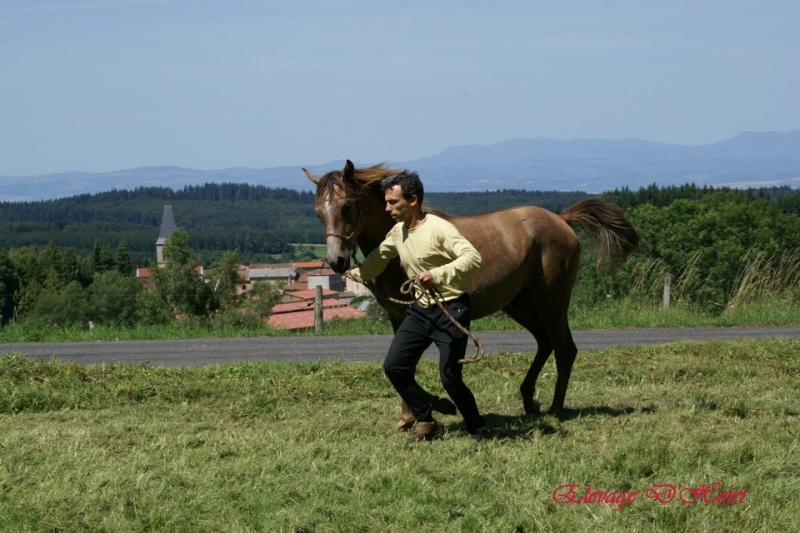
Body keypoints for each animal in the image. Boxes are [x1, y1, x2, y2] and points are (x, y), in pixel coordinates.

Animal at [304, 160, 640, 418]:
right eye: (319, 212)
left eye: (347, 207)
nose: (336, 261)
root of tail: (561, 219)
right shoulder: (399, 318)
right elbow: (400, 366)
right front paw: (408, 417)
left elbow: (408, 370)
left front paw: (439, 406)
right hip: (520, 303)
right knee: (545, 343)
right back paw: (529, 399)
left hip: (551, 300)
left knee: (564, 348)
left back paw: (555, 409)